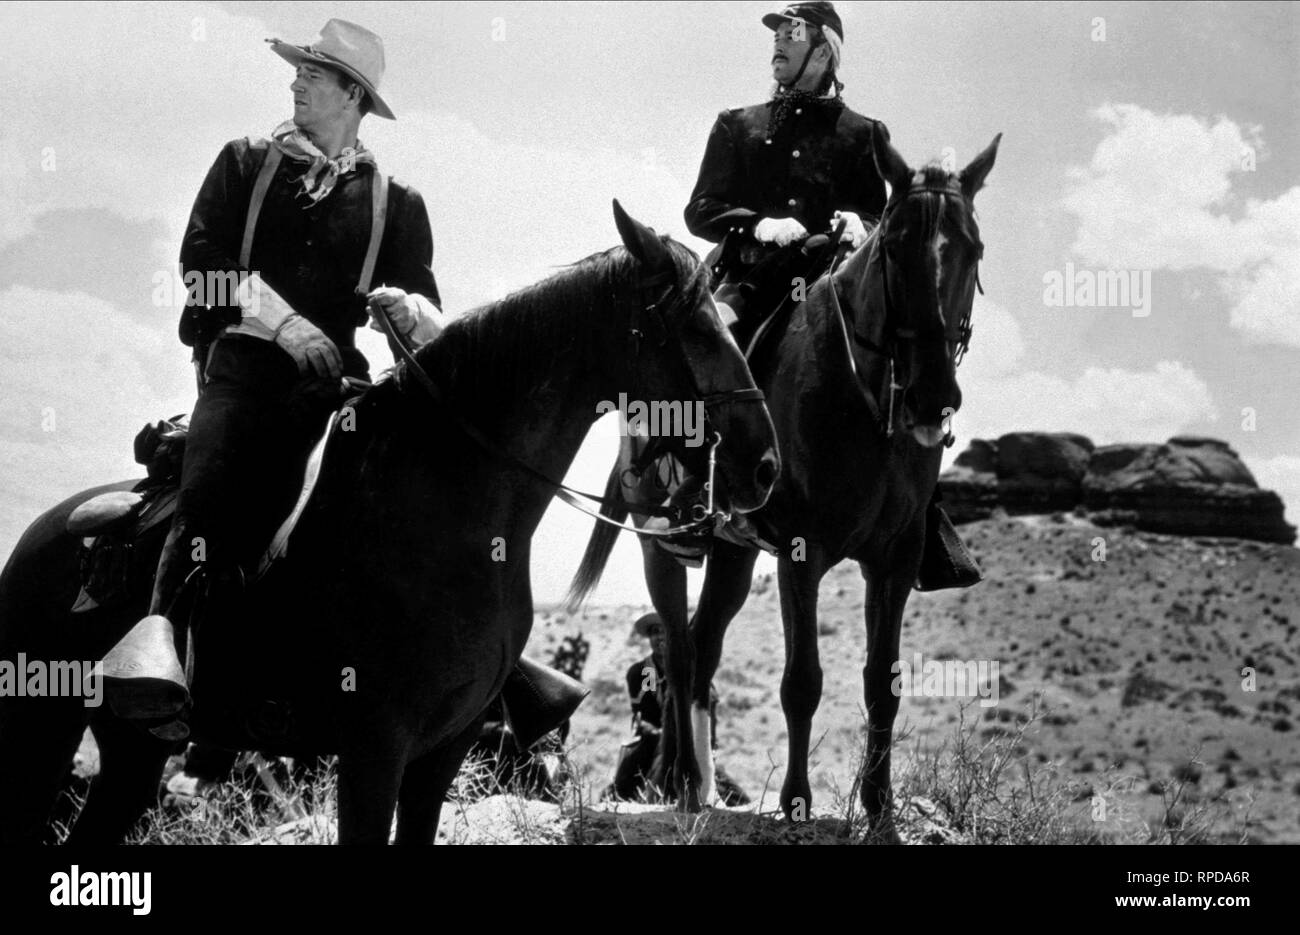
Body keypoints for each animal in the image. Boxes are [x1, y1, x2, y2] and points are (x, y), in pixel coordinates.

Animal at [0, 205, 769, 847]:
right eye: (697, 327)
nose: (763, 463)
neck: (447, 509)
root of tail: (46, 530)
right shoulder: (374, 749)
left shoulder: (440, 752)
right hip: (42, 728)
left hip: (132, 752)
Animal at [569, 130, 1003, 832]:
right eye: (893, 246)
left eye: (974, 248)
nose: (932, 397)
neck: (864, 403)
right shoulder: (803, 553)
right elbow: (802, 680)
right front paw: (796, 801)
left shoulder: (894, 558)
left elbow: (882, 682)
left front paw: (879, 809)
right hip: (659, 543)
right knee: (680, 650)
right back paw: (678, 781)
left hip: (734, 556)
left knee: (705, 647)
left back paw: (701, 785)